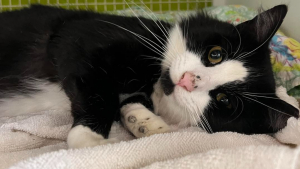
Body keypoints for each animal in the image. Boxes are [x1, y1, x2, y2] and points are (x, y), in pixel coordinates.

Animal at [0, 4, 298, 149]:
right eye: (216, 54)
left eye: (224, 101)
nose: (187, 79)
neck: (151, 78)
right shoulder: (75, 37)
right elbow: (99, 91)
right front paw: (89, 138)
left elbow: (128, 99)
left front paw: (145, 122)